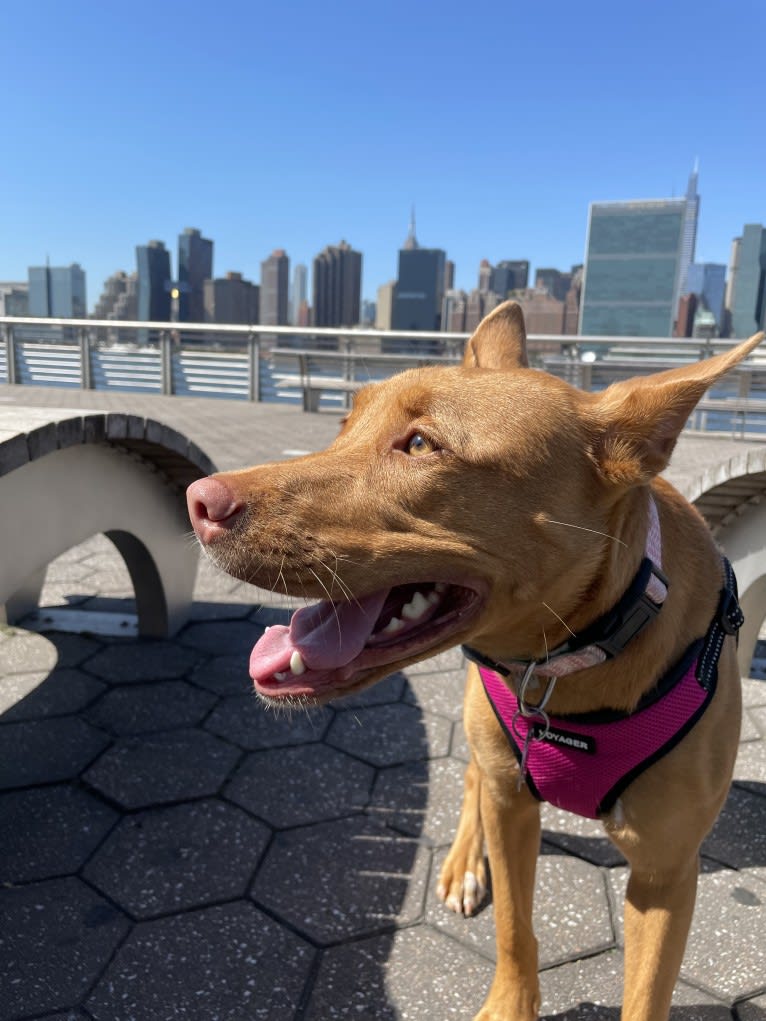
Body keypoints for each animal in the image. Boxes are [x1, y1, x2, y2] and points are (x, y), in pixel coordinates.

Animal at [187, 302, 766, 1021]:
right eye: (346, 425)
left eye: (419, 446)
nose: (198, 500)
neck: (570, 667)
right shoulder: (513, 802)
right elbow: (515, 925)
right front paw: (511, 1000)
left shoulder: (666, 875)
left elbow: (646, 993)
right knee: (474, 780)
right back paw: (466, 859)